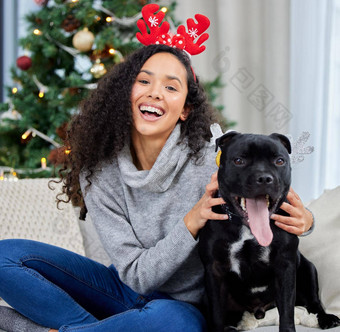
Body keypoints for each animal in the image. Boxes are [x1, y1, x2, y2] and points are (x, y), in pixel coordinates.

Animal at [198, 132, 340, 332]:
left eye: (279, 161)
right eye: (239, 160)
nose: (264, 178)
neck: (249, 229)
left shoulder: (285, 267)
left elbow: (287, 312)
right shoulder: (215, 270)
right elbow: (217, 313)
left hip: (308, 269)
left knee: (314, 301)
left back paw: (326, 318)